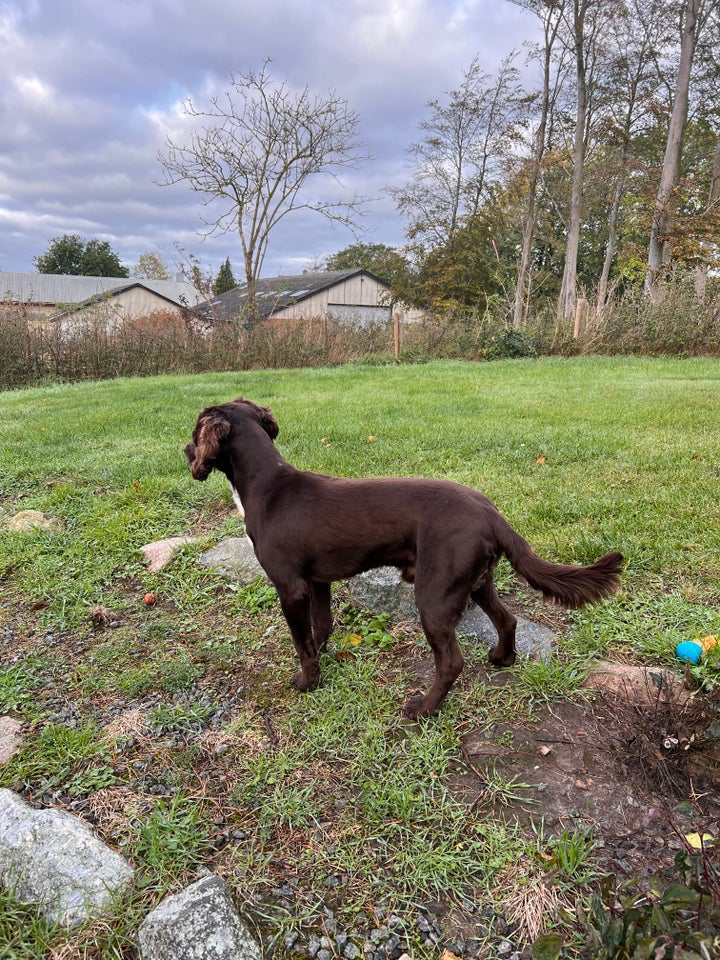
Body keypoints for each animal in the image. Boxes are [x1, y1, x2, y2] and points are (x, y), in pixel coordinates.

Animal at [187, 394, 624, 716]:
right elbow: (320, 628)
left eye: (193, 430)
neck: (268, 486)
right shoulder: (317, 582)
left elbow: (302, 642)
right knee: (508, 619)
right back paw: (502, 658)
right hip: (477, 581)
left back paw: (424, 708)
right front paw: (324, 663)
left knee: (451, 662)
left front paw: (306, 683)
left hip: (434, 594)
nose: (185, 449)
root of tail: (491, 513)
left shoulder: (290, 586)